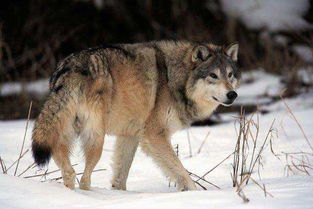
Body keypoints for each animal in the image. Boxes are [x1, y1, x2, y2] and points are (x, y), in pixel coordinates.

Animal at [31, 40, 240, 192]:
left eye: (230, 75)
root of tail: (71, 67)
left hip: (67, 133)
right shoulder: (154, 136)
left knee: (67, 168)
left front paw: (120, 195)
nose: (232, 94)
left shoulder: (129, 136)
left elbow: (120, 176)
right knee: (84, 178)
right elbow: (182, 172)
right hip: (96, 139)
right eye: (213, 75)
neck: (173, 79)